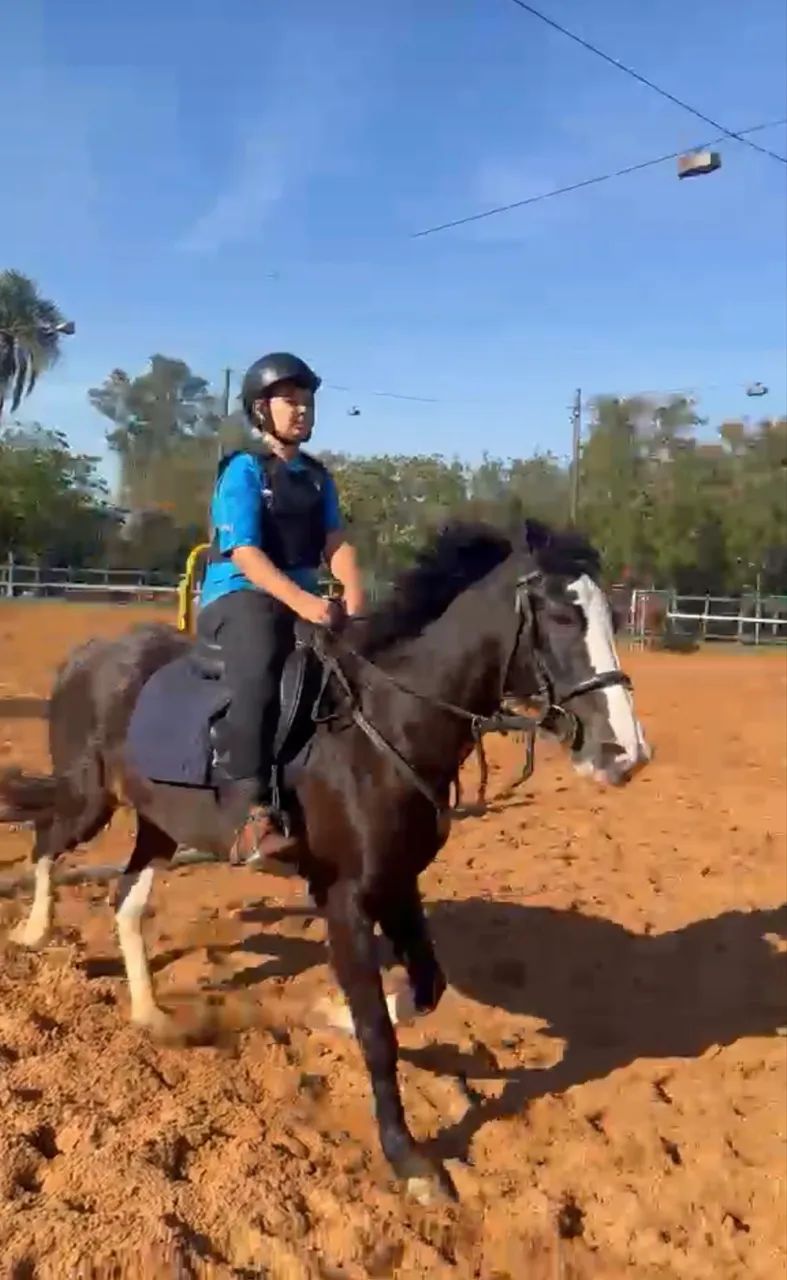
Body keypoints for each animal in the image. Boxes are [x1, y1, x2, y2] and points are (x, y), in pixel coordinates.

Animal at [0, 517, 650, 1205]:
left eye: (610, 615)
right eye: (562, 614)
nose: (625, 754)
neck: (383, 729)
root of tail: (90, 652)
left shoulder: (396, 884)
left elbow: (424, 989)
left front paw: (329, 1015)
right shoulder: (345, 897)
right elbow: (379, 1036)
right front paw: (409, 1160)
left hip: (159, 822)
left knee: (125, 899)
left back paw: (152, 1015)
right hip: (90, 799)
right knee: (45, 839)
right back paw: (33, 932)